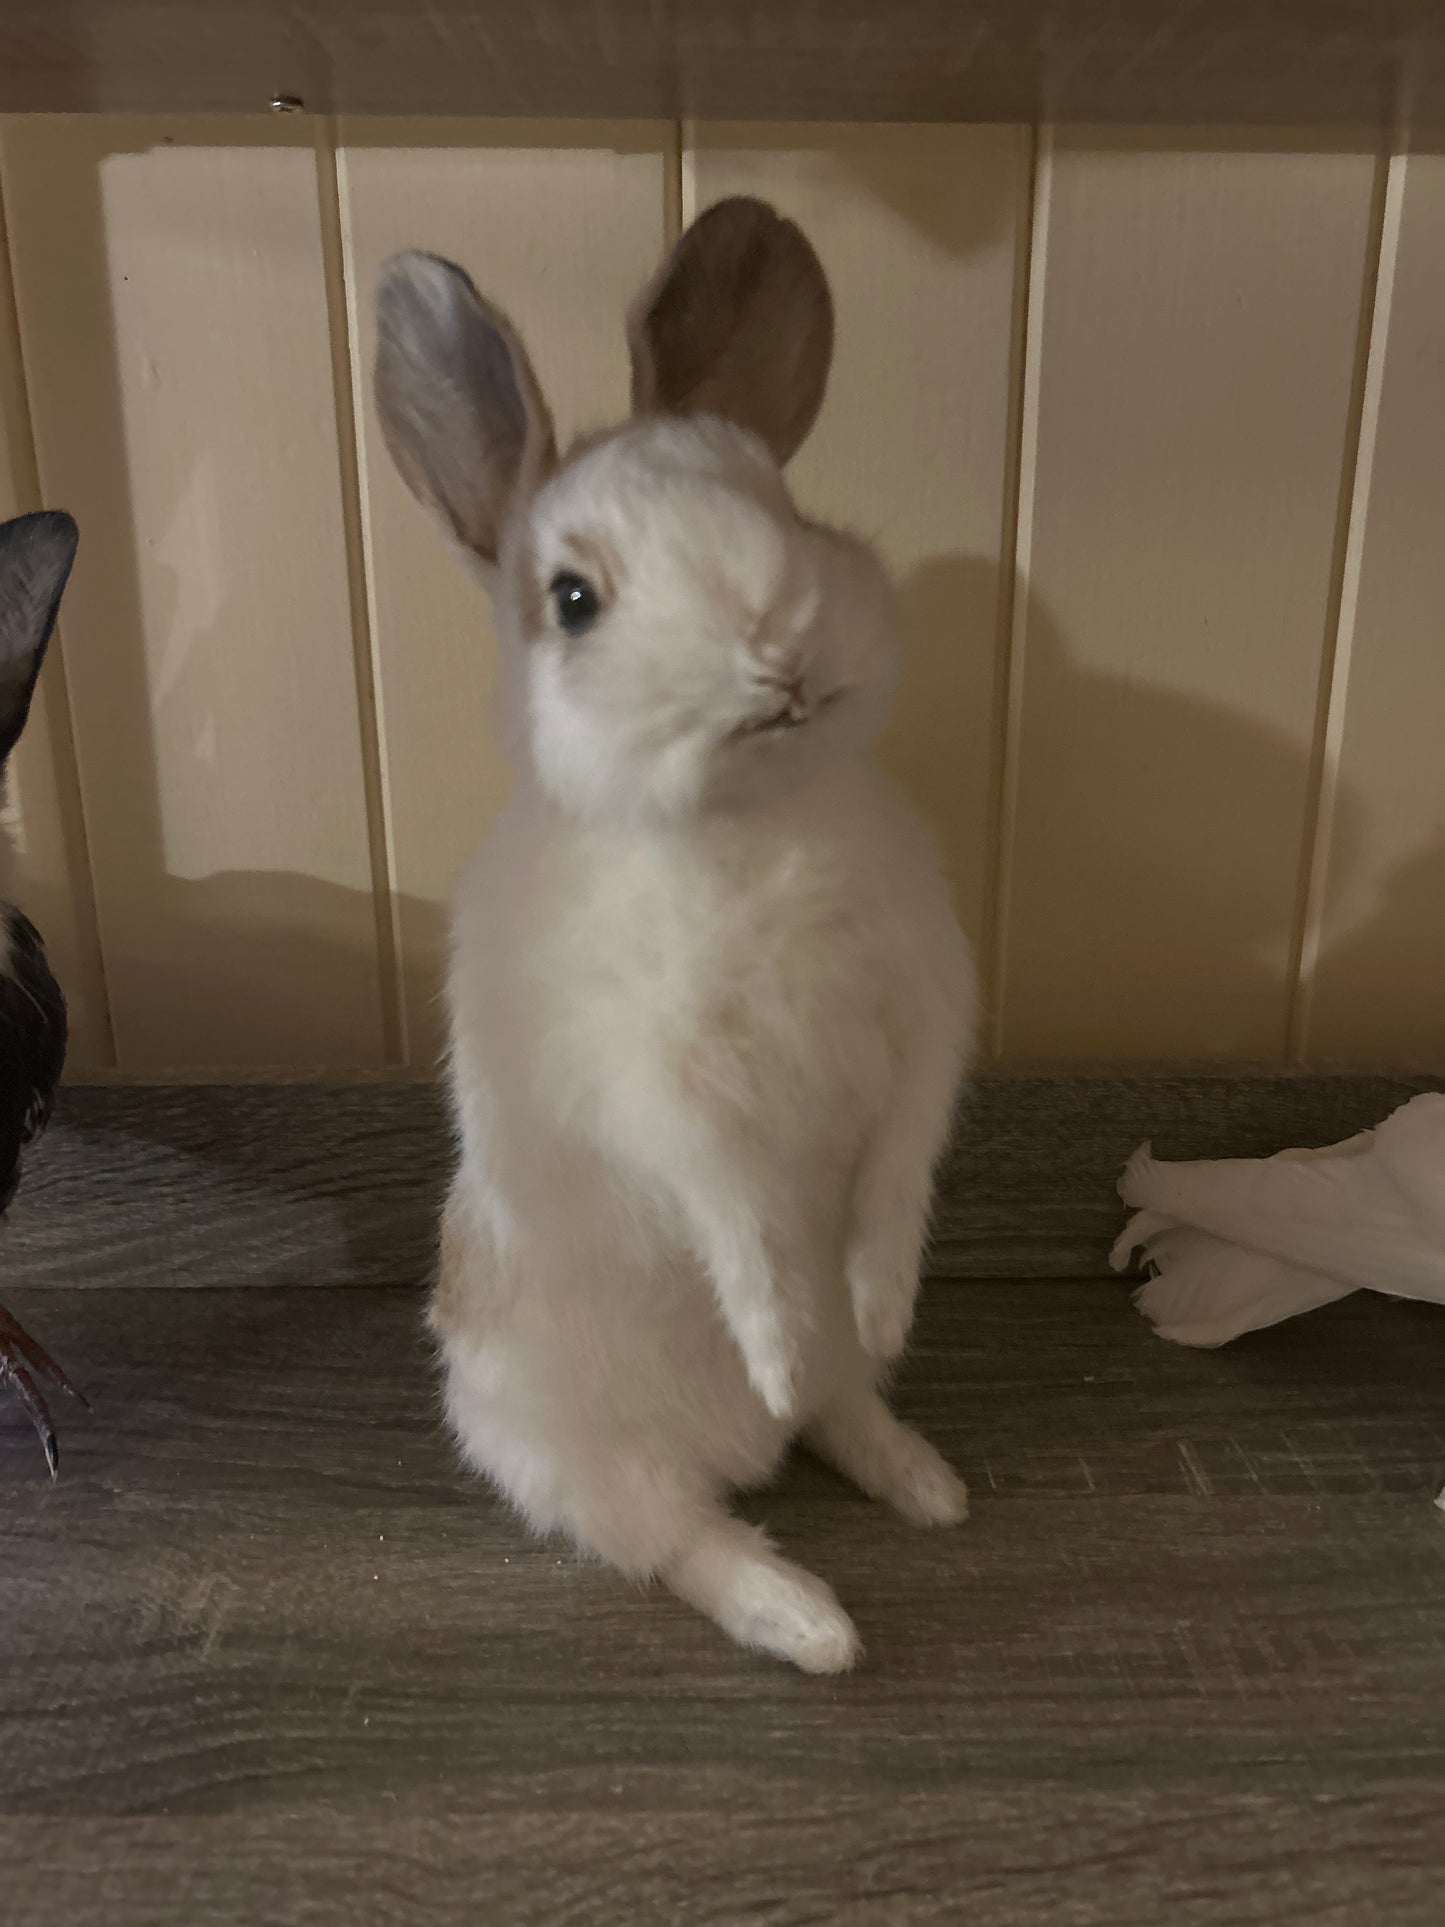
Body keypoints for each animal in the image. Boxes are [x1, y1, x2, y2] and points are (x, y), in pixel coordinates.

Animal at [373, 199, 978, 1672]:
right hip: (574, 1457)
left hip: (815, 1404)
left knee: (835, 1412)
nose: (780, 655)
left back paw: (921, 1477)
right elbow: (730, 1202)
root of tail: (731, 1448)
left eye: (782, 504)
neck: (747, 821)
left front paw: (881, 1290)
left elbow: (898, 1166)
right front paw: (766, 1325)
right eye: (573, 599)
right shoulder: (651, 1083)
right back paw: (810, 1616)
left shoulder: (926, 1012)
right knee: (684, 1539)